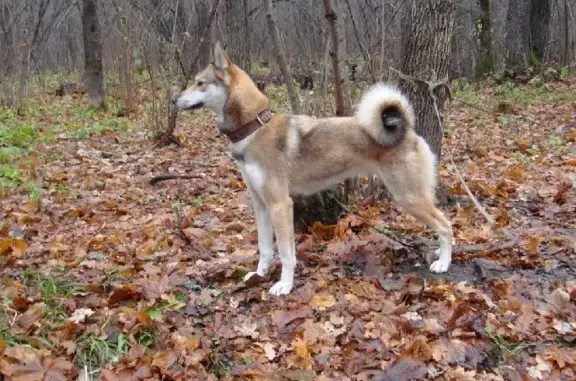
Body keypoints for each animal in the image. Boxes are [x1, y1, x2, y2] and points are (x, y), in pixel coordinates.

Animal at [172, 42, 454, 296]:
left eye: (200, 83)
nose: (174, 99)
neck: (255, 127)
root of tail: (407, 130)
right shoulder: (261, 205)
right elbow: (265, 248)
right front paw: (259, 275)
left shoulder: (280, 205)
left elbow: (286, 253)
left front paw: (284, 286)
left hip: (409, 197)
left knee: (446, 225)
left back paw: (443, 263)